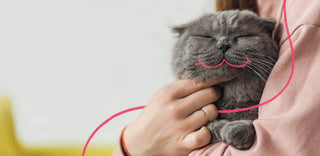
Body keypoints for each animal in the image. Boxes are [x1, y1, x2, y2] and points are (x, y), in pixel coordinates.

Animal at [171, 10, 278, 149]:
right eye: (205, 37)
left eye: (244, 36)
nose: (223, 45)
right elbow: (209, 126)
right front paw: (222, 127)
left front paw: (236, 130)